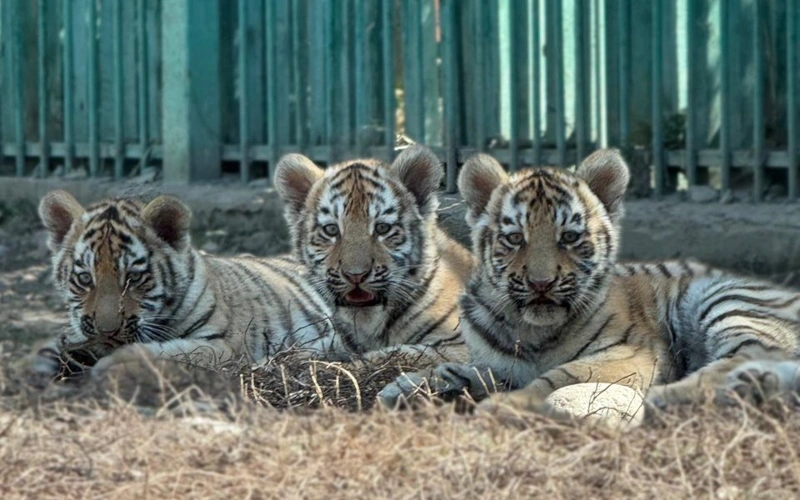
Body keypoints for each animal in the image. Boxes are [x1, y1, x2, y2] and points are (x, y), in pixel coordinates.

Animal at [23, 190, 341, 387]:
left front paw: (110, 366)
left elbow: (162, 352)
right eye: (85, 279)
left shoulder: (220, 345)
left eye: (133, 278)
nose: (107, 331)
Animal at [273, 144, 474, 368]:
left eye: (382, 228)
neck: (367, 324)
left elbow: (391, 354)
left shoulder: (456, 345)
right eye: (331, 230)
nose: (355, 275)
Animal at [379, 149, 800, 416]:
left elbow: (558, 377)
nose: (541, 283)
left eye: (568, 237)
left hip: (726, 299)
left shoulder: (628, 355)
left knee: (749, 354)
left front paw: (506, 404)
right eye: (515, 238)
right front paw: (402, 388)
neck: (528, 329)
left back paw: (678, 396)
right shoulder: (496, 360)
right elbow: (464, 369)